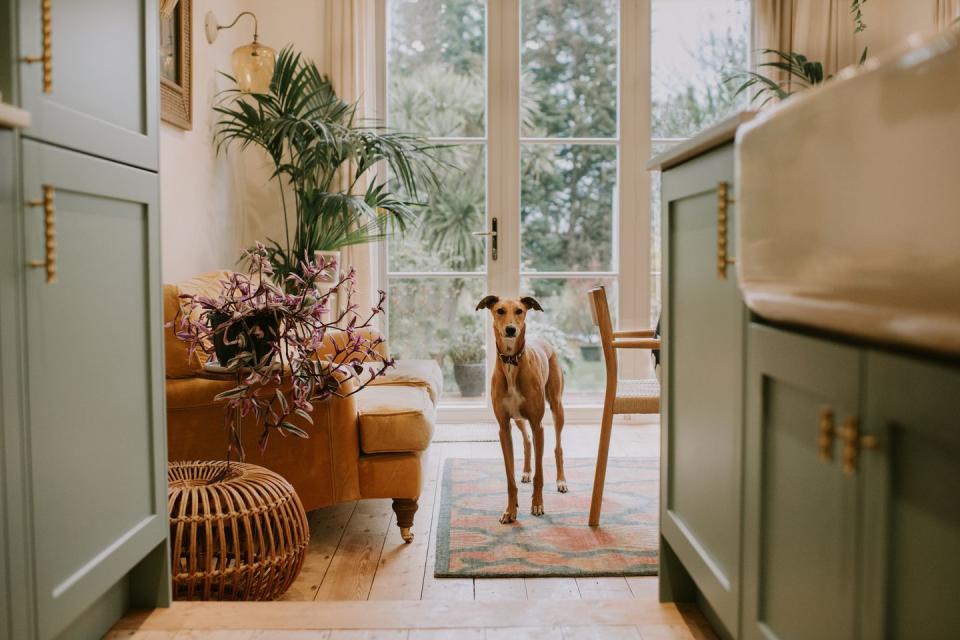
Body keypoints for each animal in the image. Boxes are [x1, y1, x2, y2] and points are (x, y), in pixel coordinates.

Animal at [476, 296, 568, 524]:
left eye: (520, 310)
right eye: (500, 310)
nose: (510, 329)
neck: (512, 362)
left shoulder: (538, 425)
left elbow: (540, 474)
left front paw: (537, 504)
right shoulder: (504, 428)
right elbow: (509, 477)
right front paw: (510, 510)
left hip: (557, 407)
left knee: (558, 447)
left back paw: (561, 481)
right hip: (518, 419)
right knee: (527, 441)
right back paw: (526, 471)